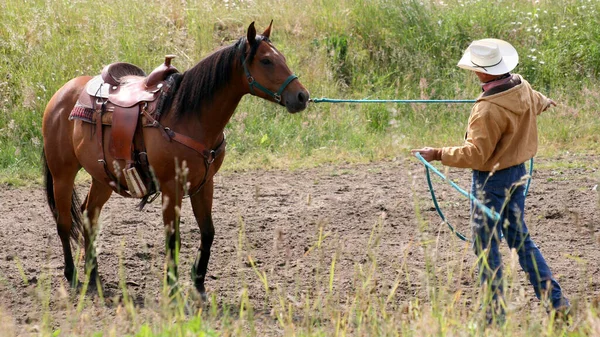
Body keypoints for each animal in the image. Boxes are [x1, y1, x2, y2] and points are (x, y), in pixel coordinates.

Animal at [41, 21, 310, 300]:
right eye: (266, 61)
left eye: (282, 58)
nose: (302, 96)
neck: (188, 114)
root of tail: (61, 95)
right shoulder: (172, 187)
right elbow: (173, 238)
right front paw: (171, 286)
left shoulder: (205, 183)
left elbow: (208, 231)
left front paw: (198, 282)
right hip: (62, 174)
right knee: (64, 222)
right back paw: (71, 274)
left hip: (103, 177)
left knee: (89, 216)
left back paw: (93, 276)